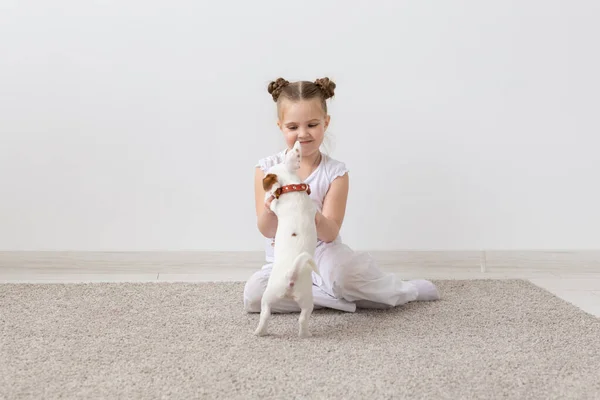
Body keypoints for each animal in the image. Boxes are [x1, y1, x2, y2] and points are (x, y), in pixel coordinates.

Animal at [253, 141, 318, 338]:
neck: (292, 187)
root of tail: (291, 275)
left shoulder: (276, 206)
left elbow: (273, 202)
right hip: (303, 300)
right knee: (299, 318)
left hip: (270, 296)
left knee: (267, 314)